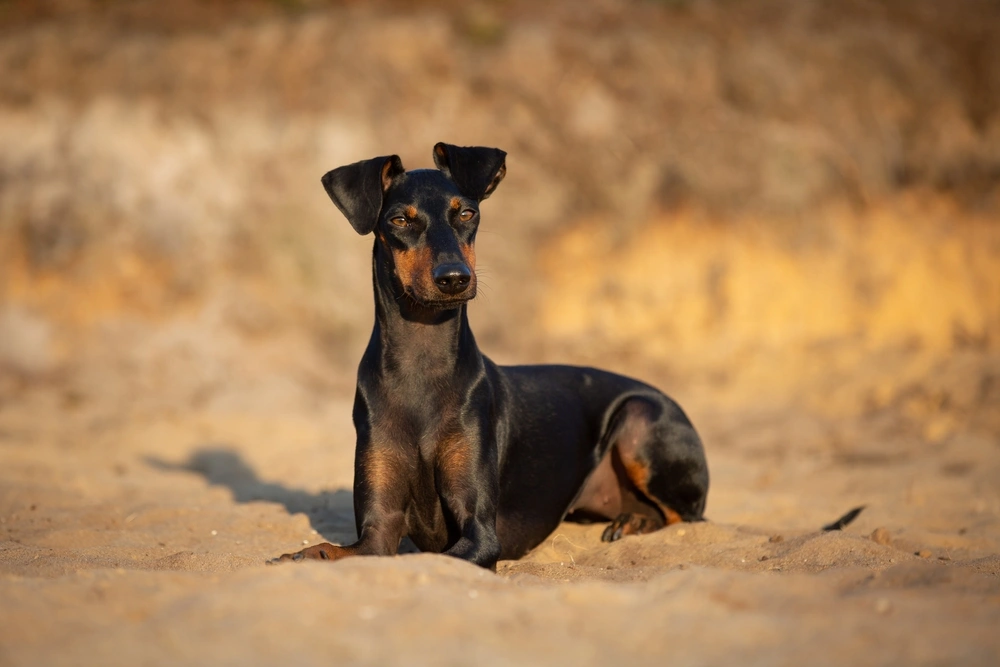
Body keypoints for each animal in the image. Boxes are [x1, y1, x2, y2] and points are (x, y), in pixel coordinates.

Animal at [270, 145, 708, 568]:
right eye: (399, 220)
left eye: (467, 212)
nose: (454, 278)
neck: (421, 360)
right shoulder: (379, 531)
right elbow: (336, 551)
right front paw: (299, 555)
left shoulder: (480, 531)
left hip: (640, 417)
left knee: (688, 516)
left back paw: (637, 521)